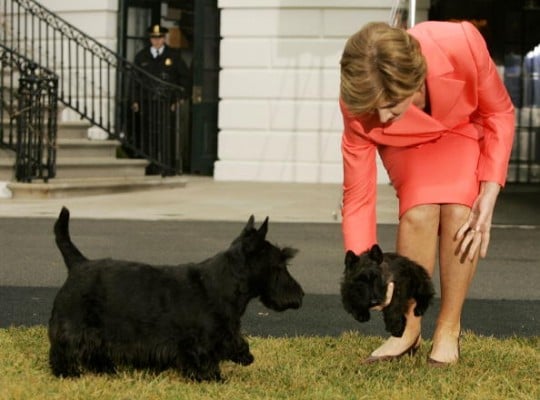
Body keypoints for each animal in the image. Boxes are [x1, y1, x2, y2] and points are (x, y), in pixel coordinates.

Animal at [48, 208, 304, 380]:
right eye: (280, 265)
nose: (300, 294)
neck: (223, 284)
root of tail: (78, 264)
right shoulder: (201, 343)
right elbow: (204, 360)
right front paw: (213, 378)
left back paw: (107, 370)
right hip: (74, 326)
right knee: (63, 349)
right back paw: (67, 373)